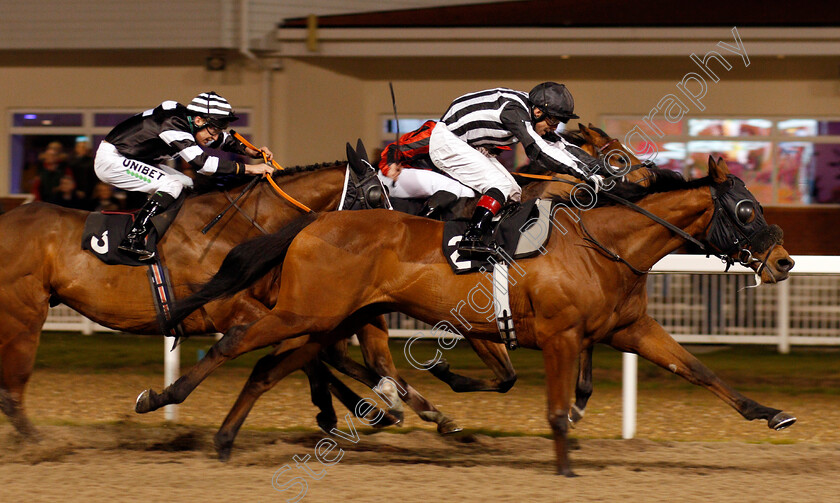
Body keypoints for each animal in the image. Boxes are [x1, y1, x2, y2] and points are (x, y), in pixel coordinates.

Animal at [143, 156, 796, 474]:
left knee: (266, 370)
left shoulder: (628, 329)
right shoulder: (561, 336)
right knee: (231, 345)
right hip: (305, 311)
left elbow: (699, 371)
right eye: (745, 209)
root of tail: (314, 222)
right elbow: (555, 408)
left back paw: (226, 440)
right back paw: (160, 398)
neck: (603, 243)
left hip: (327, 320)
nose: (784, 260)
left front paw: (771, 414)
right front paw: (564, 468)